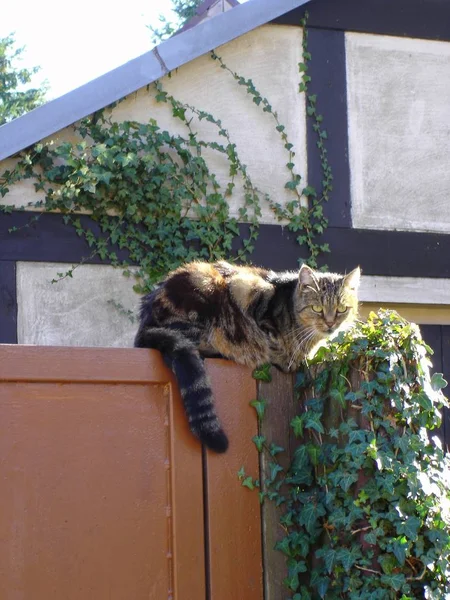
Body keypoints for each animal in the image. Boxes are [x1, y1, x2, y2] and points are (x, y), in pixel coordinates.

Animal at [133, 260, 358, 452]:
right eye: (317, 308)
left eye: (341, 309)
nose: (330, 324)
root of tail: (145, 324)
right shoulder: (255, 300)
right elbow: (273, 345)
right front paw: (286, 358)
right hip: (202, 287)